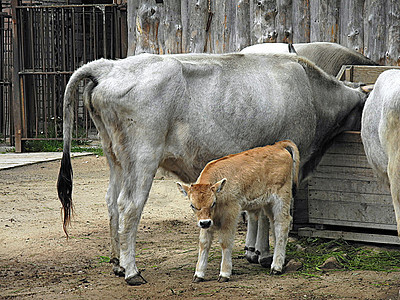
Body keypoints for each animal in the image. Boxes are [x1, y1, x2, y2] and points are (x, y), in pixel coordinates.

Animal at [56, 52, 368, 286]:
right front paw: (265, 254)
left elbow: (255, 212)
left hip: (115, 157)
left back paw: (117, 263)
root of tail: (109, 65)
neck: (312, 94)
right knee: (129, 207)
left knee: (111, 203)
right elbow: (268, 215)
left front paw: (254, 251)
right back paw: (132, 271)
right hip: (143, 158)